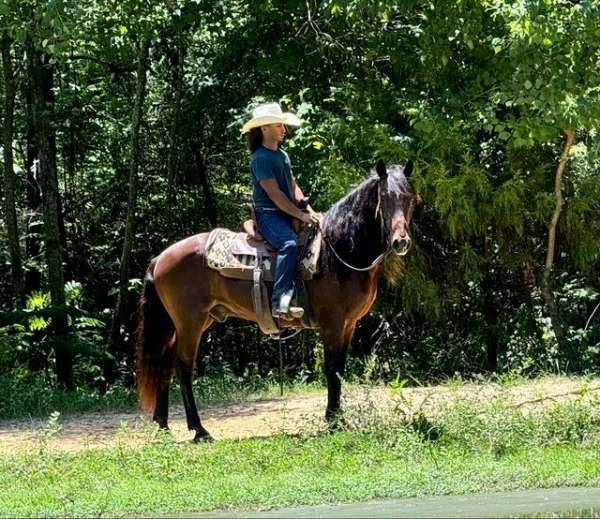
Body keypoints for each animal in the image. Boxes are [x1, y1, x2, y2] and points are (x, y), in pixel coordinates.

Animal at [135, 159, 418, 442]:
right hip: (190, 322)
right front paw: (332, 421)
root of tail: (160, 258)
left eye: (410, 199)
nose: (400, 242)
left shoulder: (349, 324)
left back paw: (163, 425)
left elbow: (338, 368)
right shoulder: (333, 322)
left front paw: (337, 418)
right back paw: (199, 430)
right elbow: (331, 368)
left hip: (194, 321)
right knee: (183, 366)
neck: (337, 251)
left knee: (165, 361)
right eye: (384, 197)